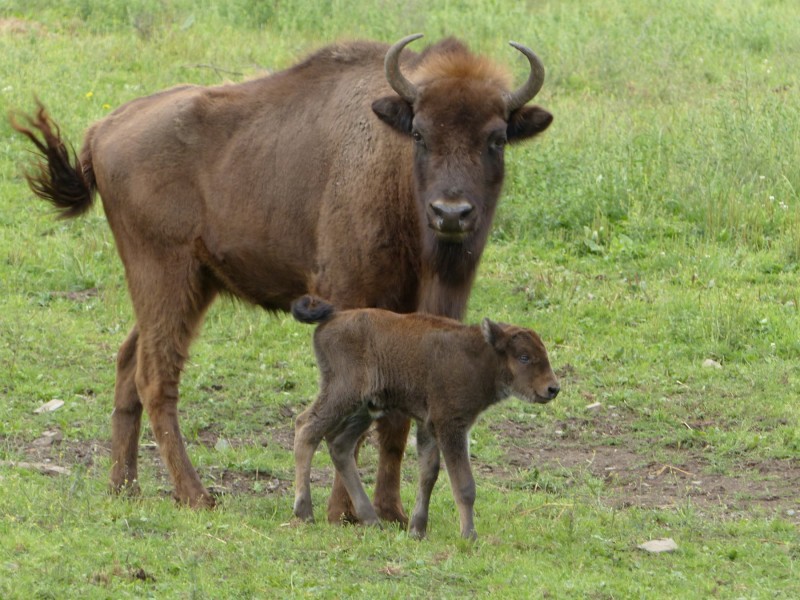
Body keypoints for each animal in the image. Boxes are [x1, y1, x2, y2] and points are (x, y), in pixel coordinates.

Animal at [290, 296, 560, 540]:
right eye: (524, 357)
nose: (552, 388)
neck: (480, 355)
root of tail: (333, 317)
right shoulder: (450, 425)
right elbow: (463, 484)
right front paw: (469, 535)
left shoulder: (430, 426)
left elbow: (428, 474)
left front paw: (417, 530)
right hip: (343, 394)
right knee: (306, 428)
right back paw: (305, 512)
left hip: (365, 408)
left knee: (340, 445)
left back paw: (372, 520)